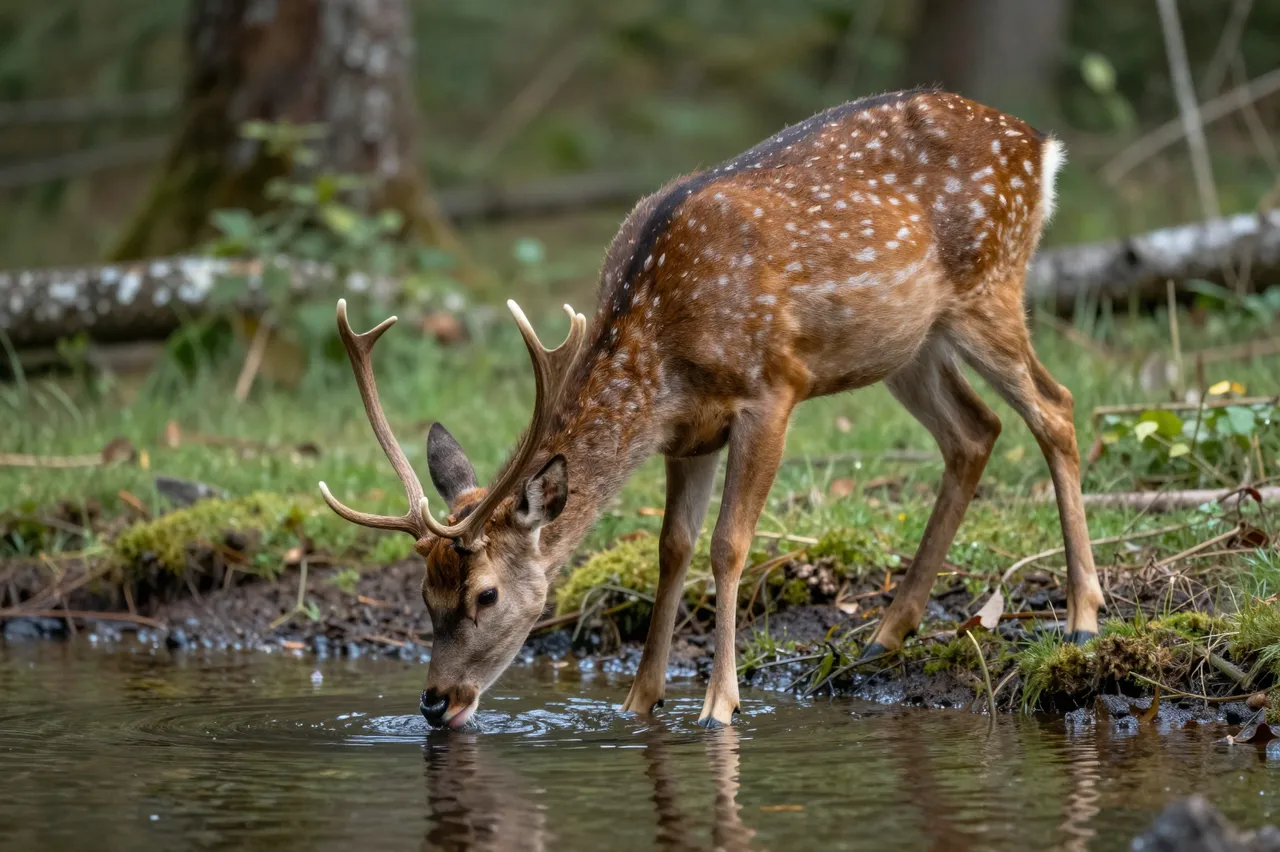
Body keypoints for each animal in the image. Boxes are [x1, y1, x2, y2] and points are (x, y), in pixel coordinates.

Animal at [318, 87, 1105, 730]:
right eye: (424, 594)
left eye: (485, 595)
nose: (435, 703)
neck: (663, 346)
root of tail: (1040, 144)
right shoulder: (686, 434)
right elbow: (673, 548)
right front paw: (639, 701)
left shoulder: (772, 388)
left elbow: (729, 545)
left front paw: (718, 704)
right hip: (909, 343)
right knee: (975, 430)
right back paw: (885, 634)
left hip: (989, 286)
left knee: (1056, 406)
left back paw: (1083, 616)